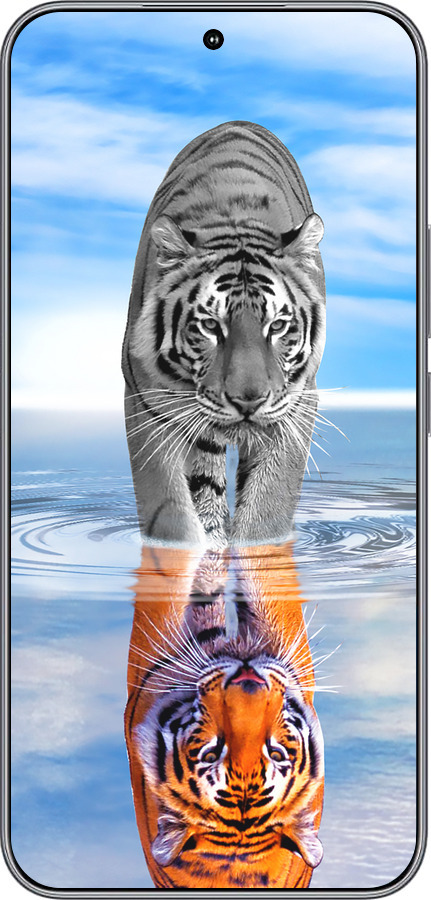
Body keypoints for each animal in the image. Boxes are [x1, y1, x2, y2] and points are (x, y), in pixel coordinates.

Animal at [122, 121, 326, 548]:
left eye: (277, 326)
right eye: (210, 326)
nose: (248, 401)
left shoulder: (297, 404)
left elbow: (268, 509)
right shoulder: (145, 401)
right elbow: (170, 512)